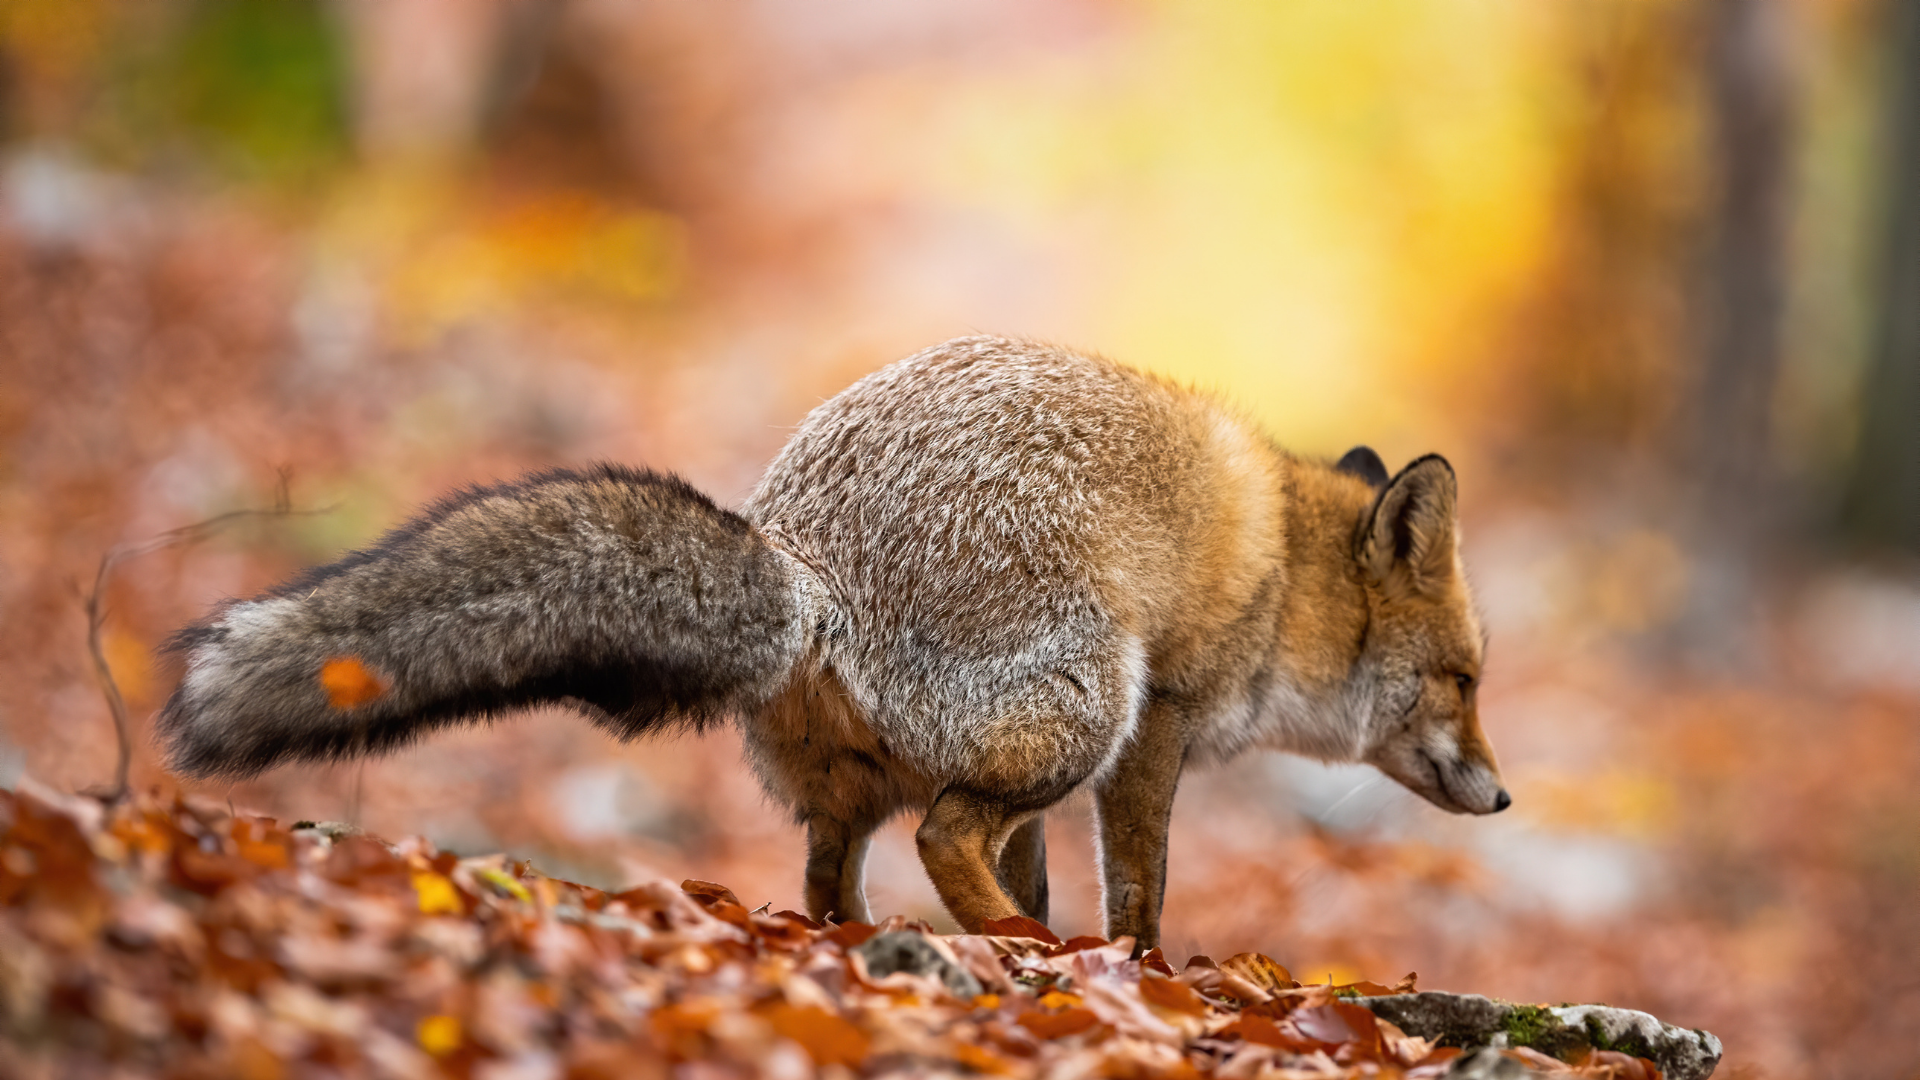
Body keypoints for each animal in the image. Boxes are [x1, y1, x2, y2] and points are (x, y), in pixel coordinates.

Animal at [159, 335, 1506, 950]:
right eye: (1465, 681)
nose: (1501, 797)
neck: (1282, 576)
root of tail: (808, 562)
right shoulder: (1157, 726)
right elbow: (1139, 888)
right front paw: (1139, 974)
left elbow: (1050, 866)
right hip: (1085, 709)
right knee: (942, 836)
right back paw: (1017, 947)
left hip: (881, 776)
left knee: (835, 875)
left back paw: (893, 944)